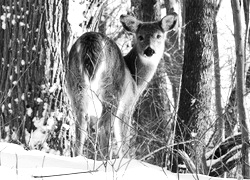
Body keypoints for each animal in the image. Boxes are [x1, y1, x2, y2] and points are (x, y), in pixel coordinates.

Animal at [65, 12, 178, 159]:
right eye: (140, 36)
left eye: (159, 36)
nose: (149, 51)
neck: (135, 80)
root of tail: (91, 42)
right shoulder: (127, 106)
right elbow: (123, 139)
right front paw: (127, 159)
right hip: (112, 91)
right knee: (104, 126)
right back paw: (105, 160)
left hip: (76, 87)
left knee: (80, 126)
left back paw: (79, 157)